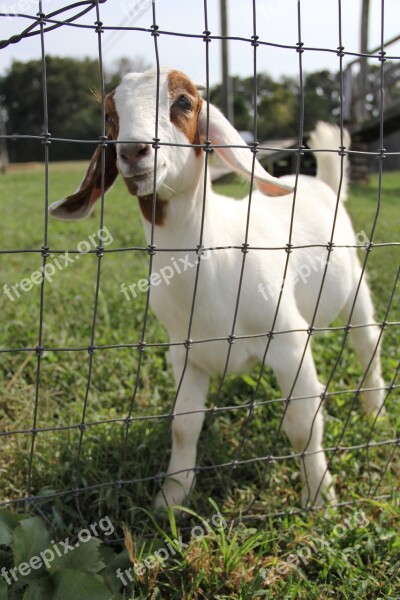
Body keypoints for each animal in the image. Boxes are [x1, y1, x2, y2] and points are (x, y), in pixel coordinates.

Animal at [48, 65, 386, 508]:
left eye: (183, 101)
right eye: (109, 115)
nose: (133, 152)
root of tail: (323, 184)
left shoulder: (289, 342)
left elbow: (302, 424)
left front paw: (318, 495)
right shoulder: (184, 353)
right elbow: (184, 424)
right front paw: (171, 498)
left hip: (355, 288)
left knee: (367, 341)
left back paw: (375, 409)